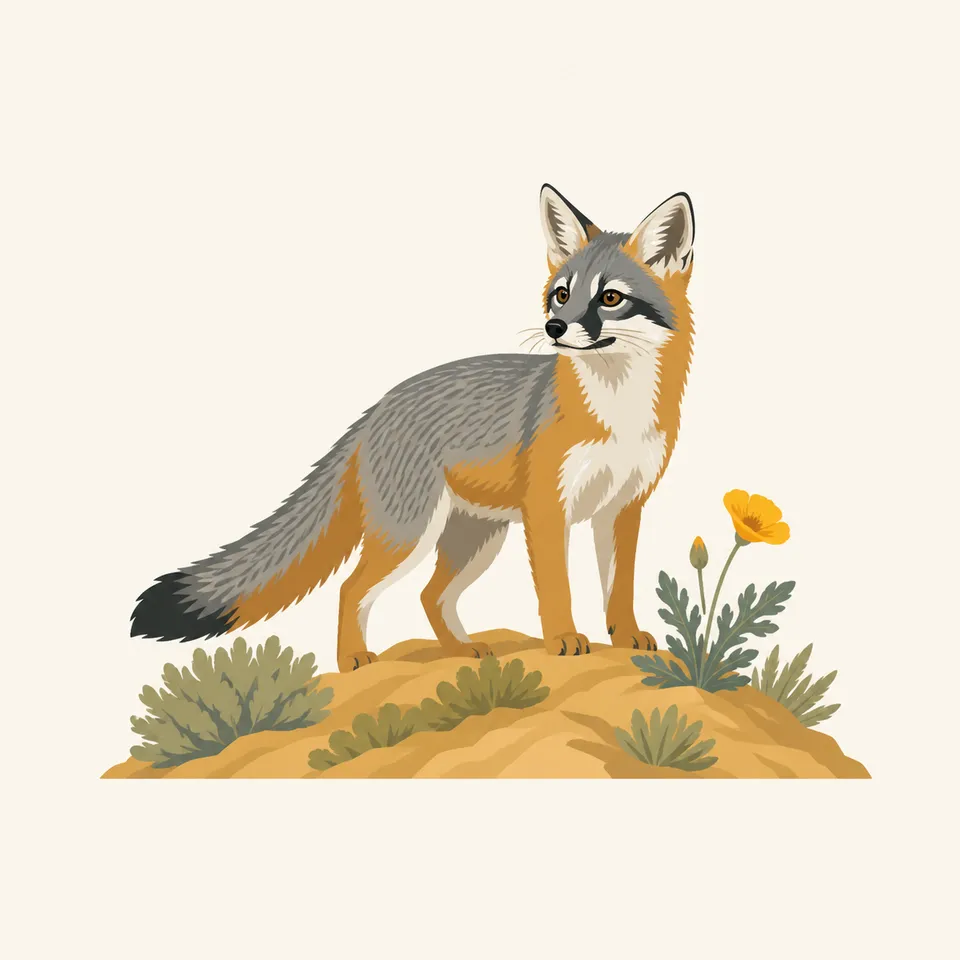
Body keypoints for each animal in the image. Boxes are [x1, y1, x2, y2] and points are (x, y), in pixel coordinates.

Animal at [132, 184, 696, 671]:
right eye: (561, 295)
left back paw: (462, 652)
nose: (555, 329)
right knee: (352, 589)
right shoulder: (547, 510)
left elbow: (619, 590)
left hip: (474, 540)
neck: (618, 415)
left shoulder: (623, 509)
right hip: (411, 535)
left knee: (430, 596)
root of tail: (378, 407)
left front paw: (626, 638)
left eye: (610, 298)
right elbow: (557, 589)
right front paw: (562, 639)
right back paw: (354, 661)